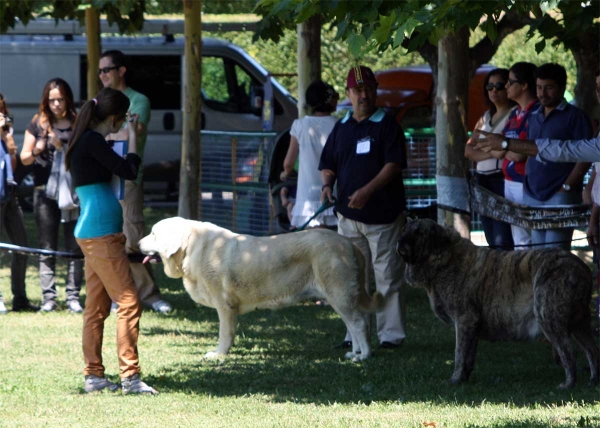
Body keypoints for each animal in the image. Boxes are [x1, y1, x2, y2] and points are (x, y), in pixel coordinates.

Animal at [138, 217, 382, 362]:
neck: (190, 246)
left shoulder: (224, 306)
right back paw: (355, 353)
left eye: (153, 234)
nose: (137, 244)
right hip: (340, 298)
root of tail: (349, 243)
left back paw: (364, 356)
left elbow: (225, 333)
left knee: (359, 323)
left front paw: (219, 354)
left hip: (339, 295)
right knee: (356, 324)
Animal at [396, 219, 596, 390]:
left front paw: (455, 379)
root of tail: (580, 267)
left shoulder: (464, 321)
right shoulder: (471, 327)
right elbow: (468, 356)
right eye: (404, 230)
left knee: (568, 353)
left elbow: (459, 354)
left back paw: (569, 383)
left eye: (418, 232)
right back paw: (593, 379)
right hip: (580, 323)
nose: (399, 241)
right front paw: (464, 378)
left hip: (549, 319)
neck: (443, 255)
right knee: (592, 350)